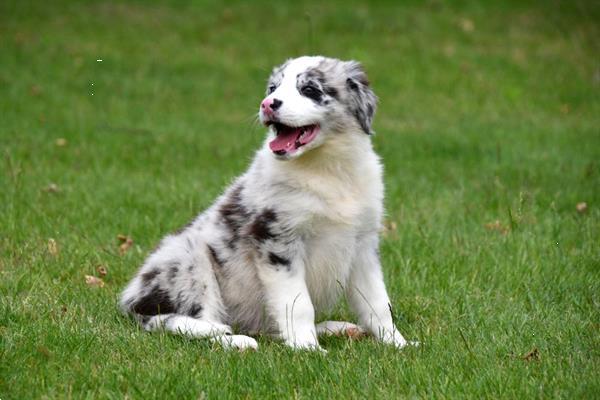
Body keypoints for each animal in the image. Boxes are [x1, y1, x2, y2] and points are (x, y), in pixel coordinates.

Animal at [118, 56, 418, 350]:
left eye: (309, 89)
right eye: (273, 88)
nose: (267, 104)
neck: (328, 171)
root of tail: (128, 302)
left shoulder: (363, 245)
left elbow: (378, 303)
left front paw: (397, 343)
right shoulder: (276, 240)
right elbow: (298, 303)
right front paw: (307, 348)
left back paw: (335, 328)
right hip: (189, 262)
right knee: (170, 320)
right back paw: (234, 339)